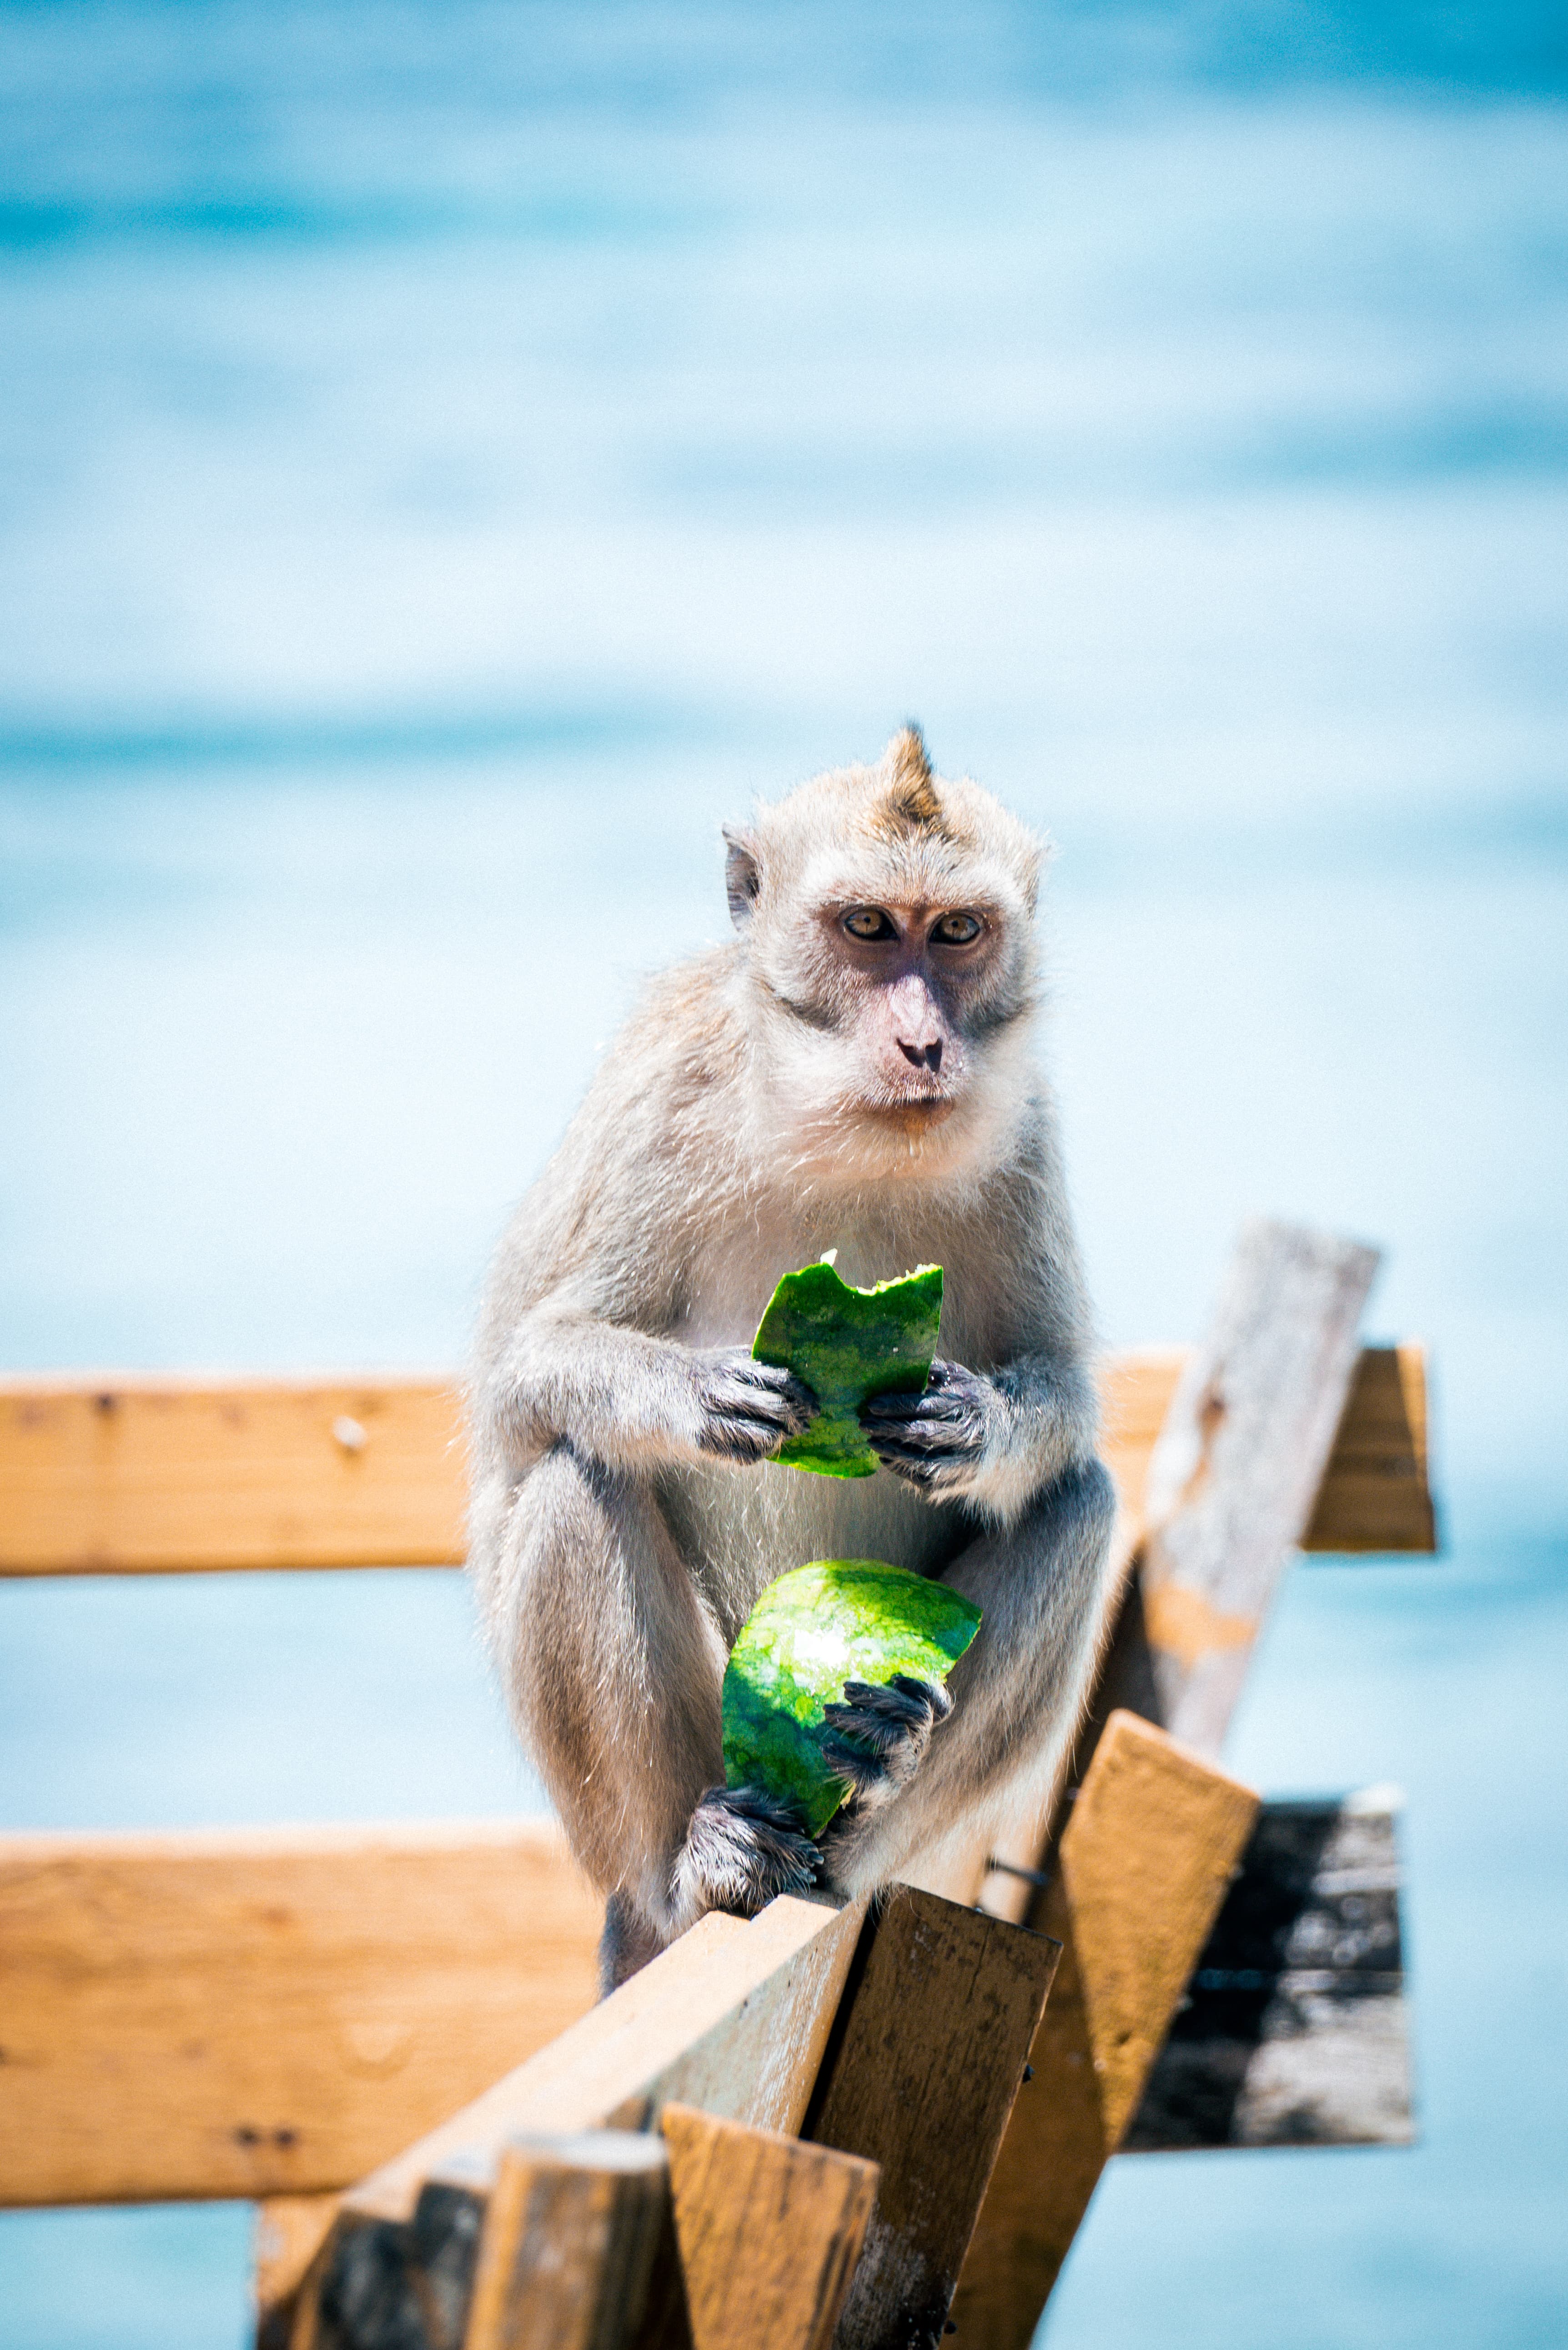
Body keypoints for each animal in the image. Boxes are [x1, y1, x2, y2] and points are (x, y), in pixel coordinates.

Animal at [469, 726, 1115, 1990]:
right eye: (865, 926)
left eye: (954, 932)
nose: (922, 1042)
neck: (846, 1121)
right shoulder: (664, 1101)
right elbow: (528, 1376)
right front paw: (692, 1395)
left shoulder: (1026, 1131)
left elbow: (1064, 1391)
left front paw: (975, 1426)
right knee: (576, 1477)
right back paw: (693, 1868)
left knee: (1077, 1501)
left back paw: (870, 1787)